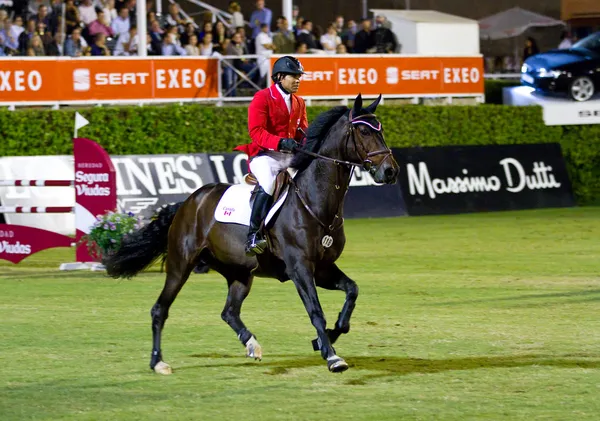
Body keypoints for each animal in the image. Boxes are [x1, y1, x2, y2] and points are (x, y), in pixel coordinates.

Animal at [104, 93, 398, 372]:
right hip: (181, 264)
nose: (391, 171)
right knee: (160, 309)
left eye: (381, 130)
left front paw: (325, 338)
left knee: (229, 312)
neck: (314, 202)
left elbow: (352, 291)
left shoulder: (323, 268)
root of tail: (188, 202)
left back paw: (252, 345)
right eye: (364, 132)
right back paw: (158, 362)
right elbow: (316, 311)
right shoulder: (300, 268)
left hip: (240, 273)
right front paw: (332, 356)